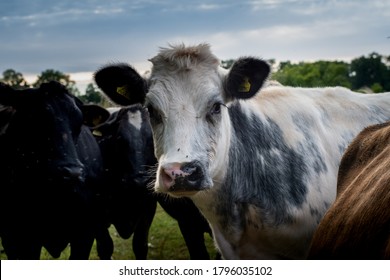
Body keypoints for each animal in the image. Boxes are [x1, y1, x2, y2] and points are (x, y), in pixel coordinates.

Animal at [94, 104, 216, 260]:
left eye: (152, 141)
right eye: (119, 139)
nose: (140, 181)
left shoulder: (147, 211)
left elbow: (140, 245)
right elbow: (105, 248)